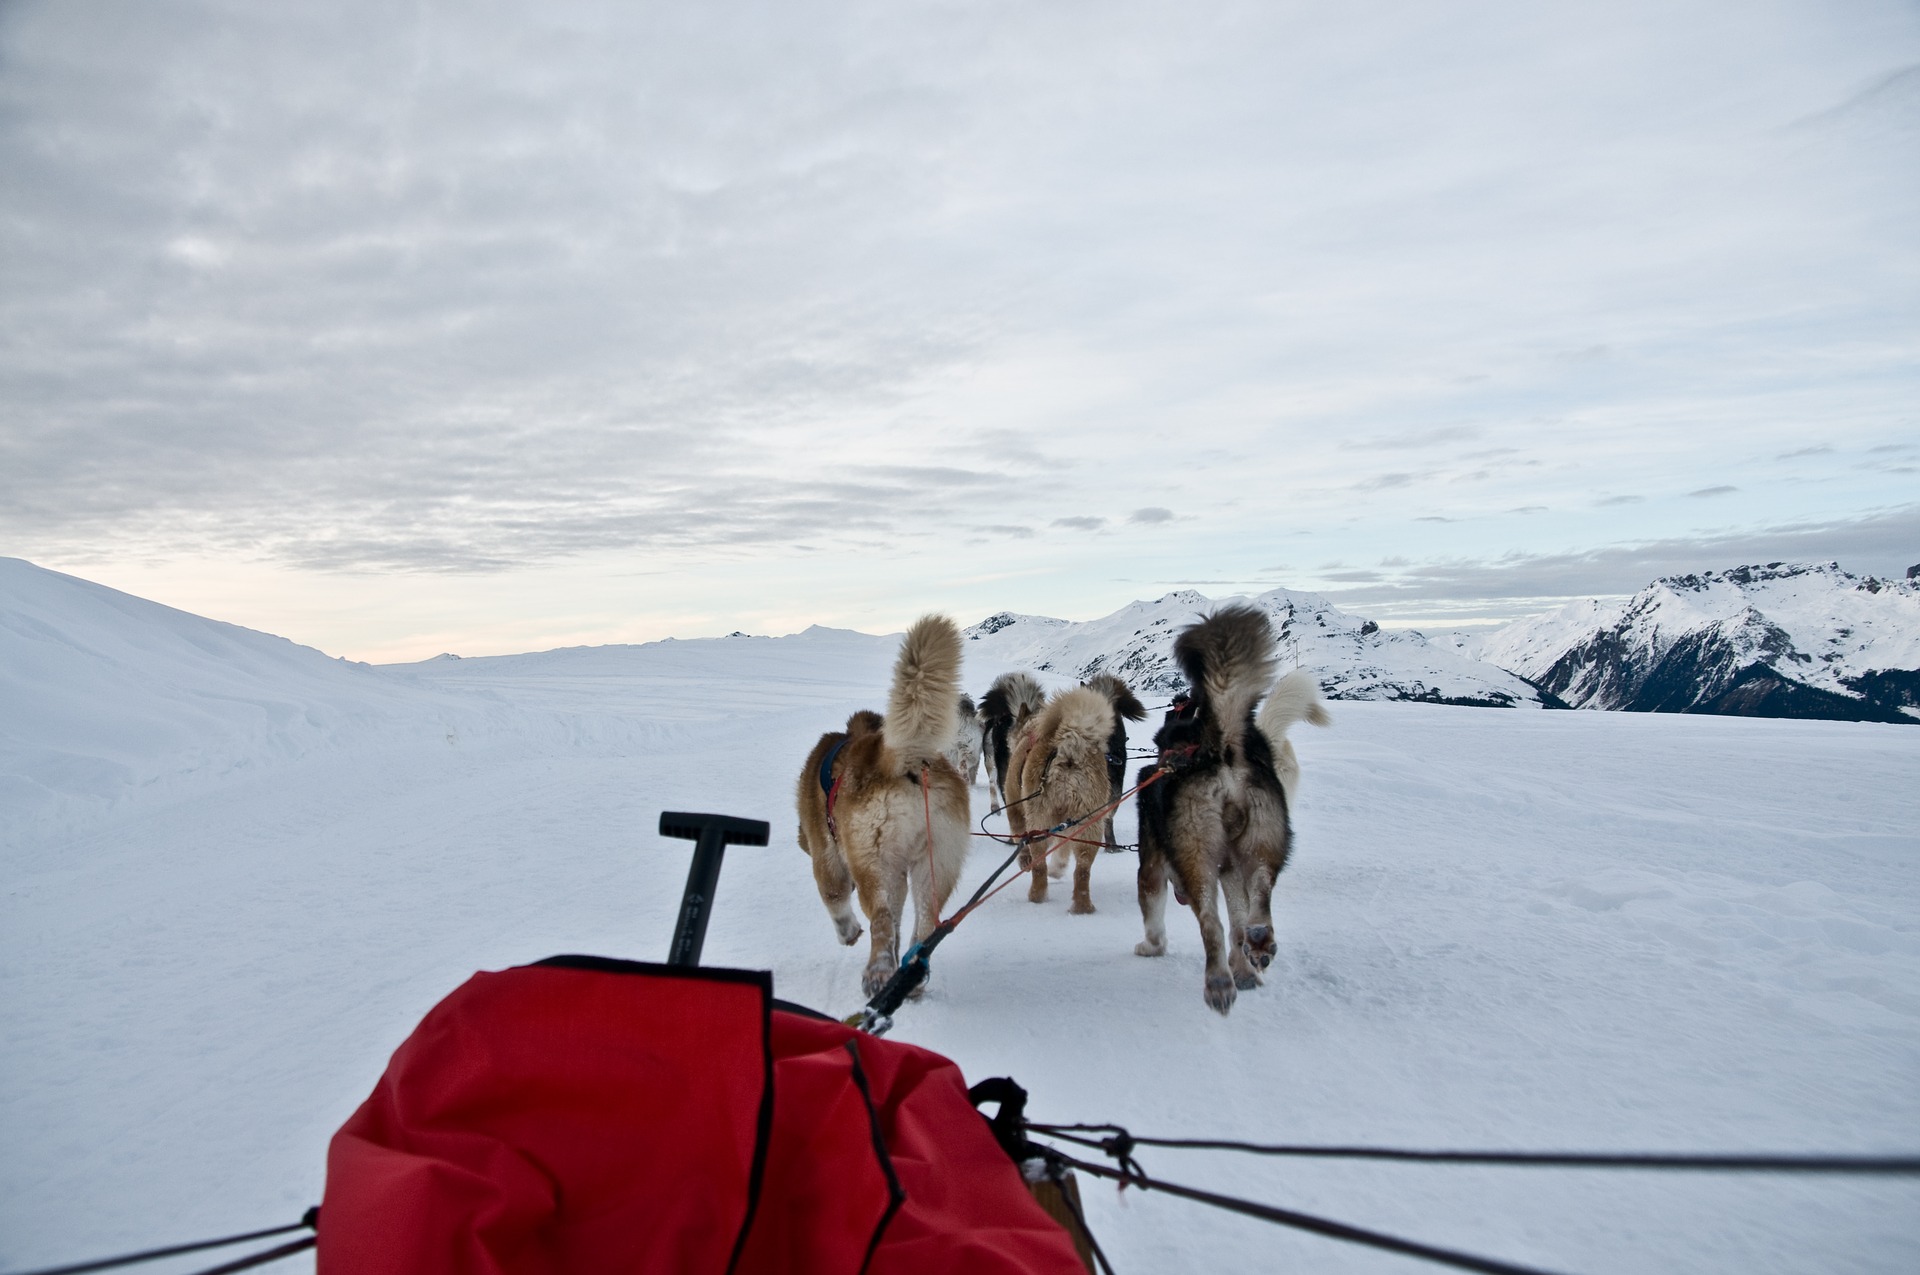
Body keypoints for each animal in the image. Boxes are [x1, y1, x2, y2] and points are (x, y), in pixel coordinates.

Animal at [794, 614, 975, 998]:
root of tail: (898, 758)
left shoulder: (826, 856)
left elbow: (835, 899)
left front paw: (848, 933)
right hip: (935, 865)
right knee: (924, 925)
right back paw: (910, 975)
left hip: (873, 865)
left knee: (879, 918)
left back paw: (877, 974)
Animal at [1128, 606, 1297, 1013]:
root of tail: (1221, 752)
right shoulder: (1231, 869)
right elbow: (1238, 919)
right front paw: (1246, 969)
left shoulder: (1151, 865)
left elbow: (1153, 914)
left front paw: (1151, 947)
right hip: (1262, 845)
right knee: (1254, 904)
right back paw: (1257, 943)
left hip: (1195, 856)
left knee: (1211, 923)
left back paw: (1218, 982)